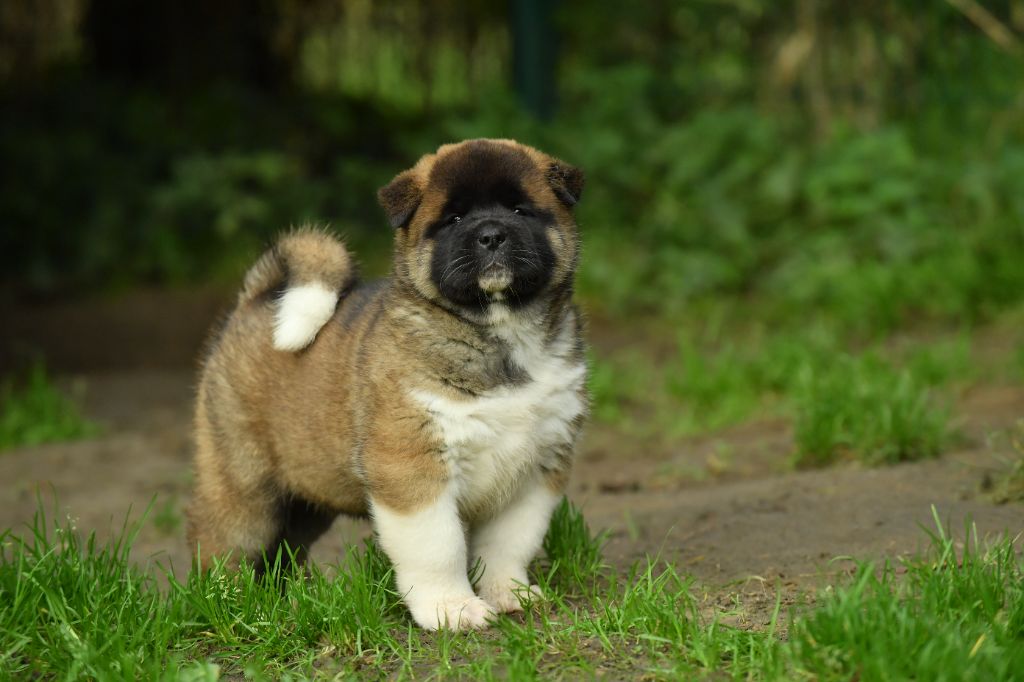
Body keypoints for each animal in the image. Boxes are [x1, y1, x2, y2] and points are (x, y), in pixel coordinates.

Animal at [189, 137, 589, 626]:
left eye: (519, 210)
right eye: (454, 219)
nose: (491, 234)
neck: (496, 332)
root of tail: (256, 301)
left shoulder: (536, 470)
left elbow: (509, 544)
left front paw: (507, 592)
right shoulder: (412, 466)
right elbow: (439, 547)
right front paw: (451, 609)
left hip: (308, 493)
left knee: (283, 550)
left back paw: (283, 601)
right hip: (244, 485)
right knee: (221, 541)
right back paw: (225, 602)